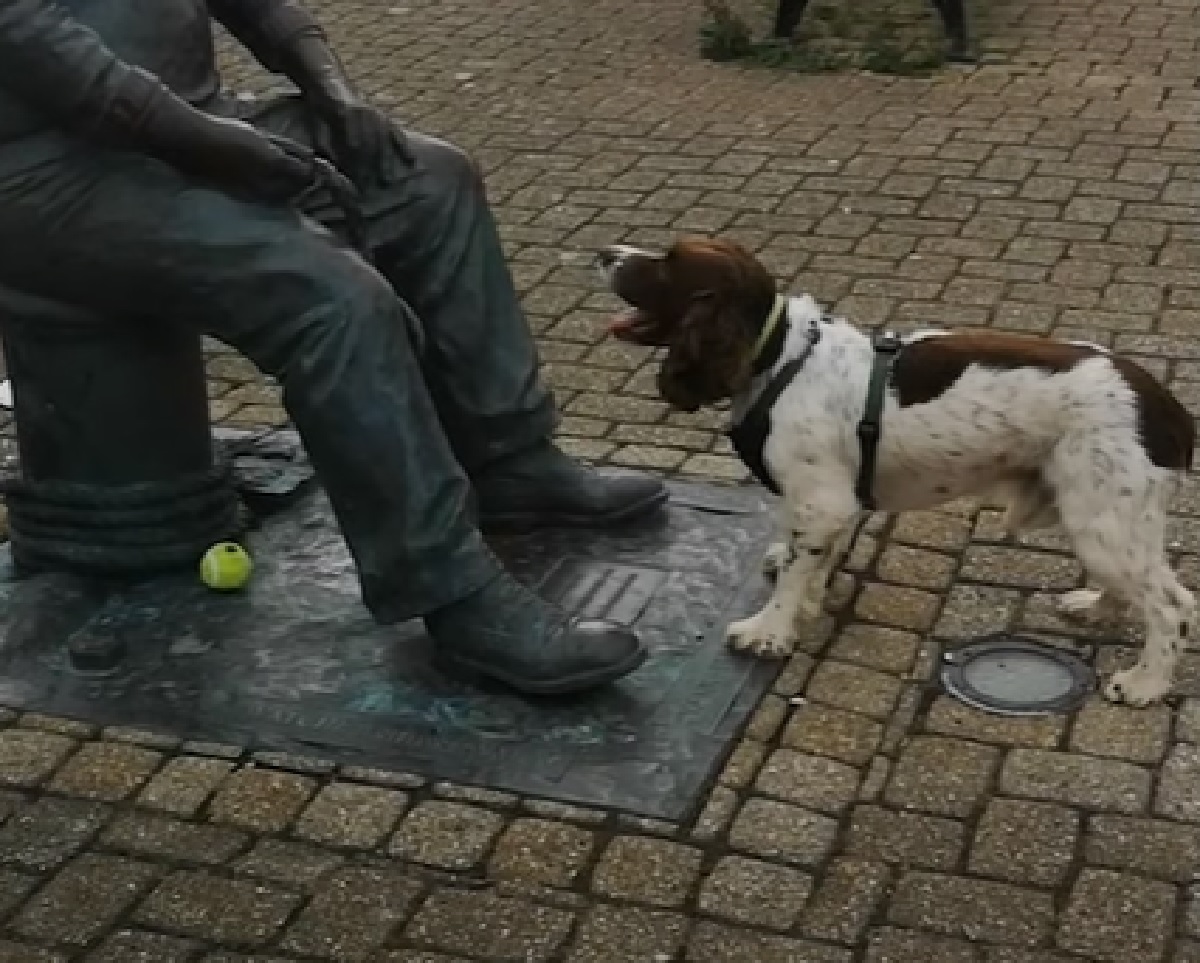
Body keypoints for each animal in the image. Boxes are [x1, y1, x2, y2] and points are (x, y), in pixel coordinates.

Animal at [595, 236, 1195, 706]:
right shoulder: (829, 503)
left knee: (1171, 607)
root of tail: (1169, 409)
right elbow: (807, 559)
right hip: (1111, 521)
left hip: (1103, 518)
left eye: (668, 263)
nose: (604, 253)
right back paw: (1097, 609)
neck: (779, 358)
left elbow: (793, 574)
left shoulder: (822, 501)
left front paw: (768, 631)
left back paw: (1144, 683)